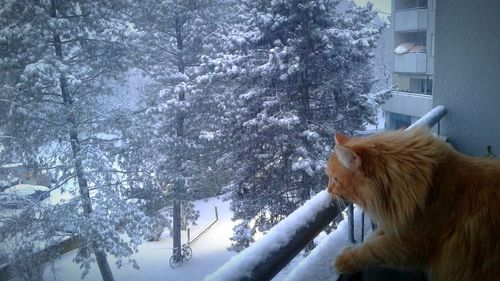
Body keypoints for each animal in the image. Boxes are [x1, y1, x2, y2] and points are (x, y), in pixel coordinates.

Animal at [324, 127, 500, 280]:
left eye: (335, 179)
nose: (328, 189)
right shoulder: (398, 223)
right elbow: (373, 237)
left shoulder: (409, 243)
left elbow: (371, 250)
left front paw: (344, 259)